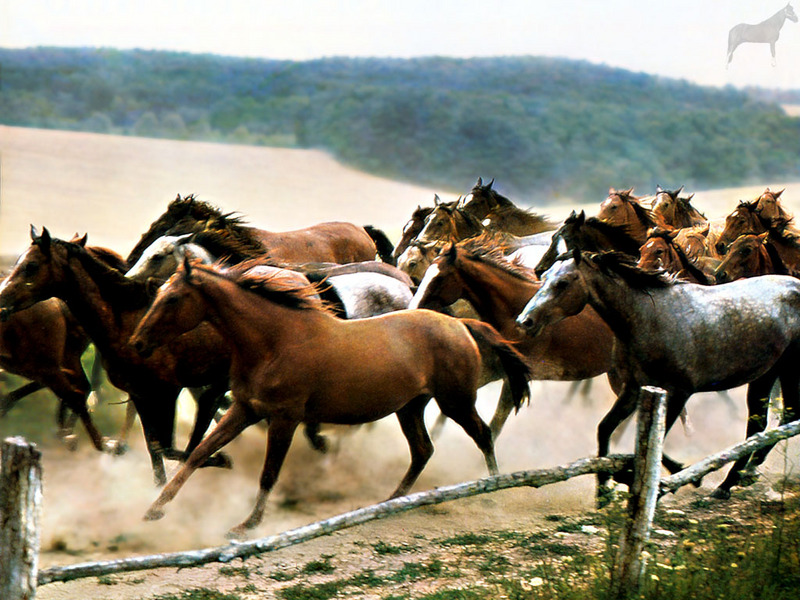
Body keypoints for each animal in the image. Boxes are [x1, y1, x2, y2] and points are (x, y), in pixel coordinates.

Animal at [0, 227, 234, 486]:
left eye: (31, 265)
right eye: (18, 261)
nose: (1, 300)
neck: (126, 323)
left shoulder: (167, 392)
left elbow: (170, 448)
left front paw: (220, 458)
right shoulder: (140, 394)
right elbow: (157, 449)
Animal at [131, 256, 532, 536]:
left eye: (173, 299)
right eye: (160, 293)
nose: (137, 343)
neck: (275, 341)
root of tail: (460, 324)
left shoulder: (285, 418)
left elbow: (268, 473)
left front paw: (247, 525)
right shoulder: (245, 409)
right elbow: (197, 454)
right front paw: (153, 510)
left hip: (455, 401)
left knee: (482, 435)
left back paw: (494, 490)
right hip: (410, 407)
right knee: (423, 450)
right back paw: (390, 501)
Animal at [516, 251, 800, 500]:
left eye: (562, 283)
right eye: (544, 278)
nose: (524, 321)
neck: (648, 319)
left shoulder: (678, 392)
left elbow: (656, 439)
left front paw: (650, 478)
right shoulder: (633, 388)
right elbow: (605, 429)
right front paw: (605, 489)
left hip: (785, 371)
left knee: (775, 421)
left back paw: (732, 481)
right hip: (766, 374)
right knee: (763, 425)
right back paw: (737, 477)